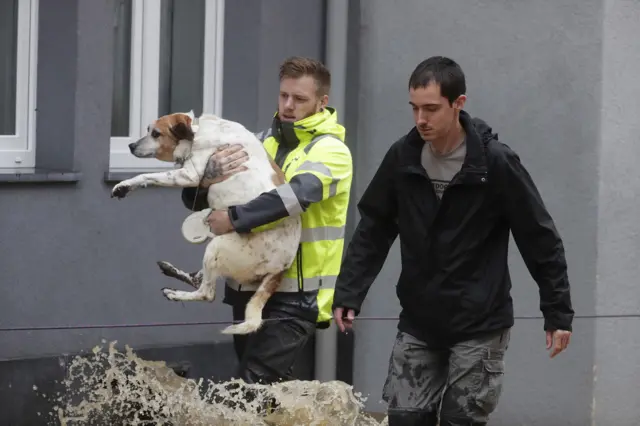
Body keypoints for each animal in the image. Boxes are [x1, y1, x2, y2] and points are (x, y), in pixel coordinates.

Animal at [111, 111, 302, 334]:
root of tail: (282, 267)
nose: (131, 146)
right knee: (198, 280)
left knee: (206, 293)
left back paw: (176, 293)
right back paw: (172, 272)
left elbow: (146, 175)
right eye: (148, 130)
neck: (197, 131)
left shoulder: (188, 175)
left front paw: (124, 185)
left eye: (156, 133)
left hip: (216, 247)